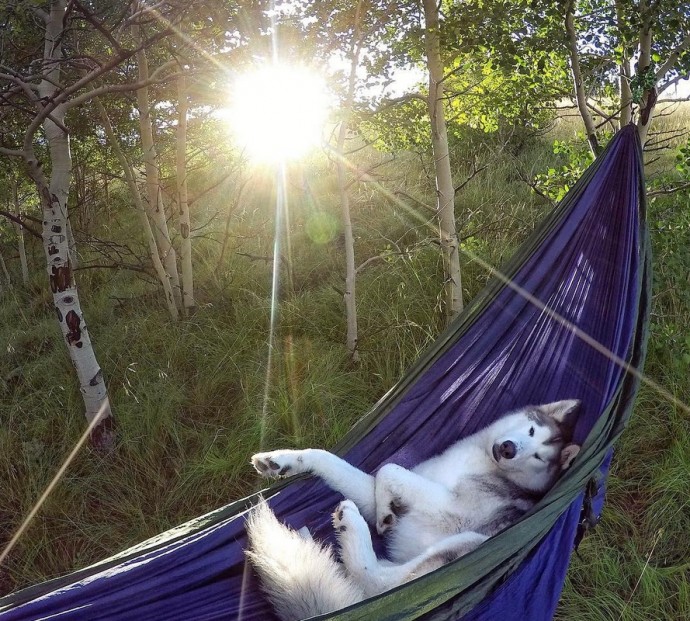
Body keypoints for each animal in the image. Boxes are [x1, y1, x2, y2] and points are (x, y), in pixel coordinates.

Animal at [245, 400, 576, 616]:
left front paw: (382, 513)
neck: (483, 459)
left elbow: (389, 469)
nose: (509, 449)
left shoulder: (450, 509)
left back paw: (348, 527)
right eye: (531, 431)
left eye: (539, 458)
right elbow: (336, 461)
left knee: (376, 584)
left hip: (468, 543)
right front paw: (281, 460)